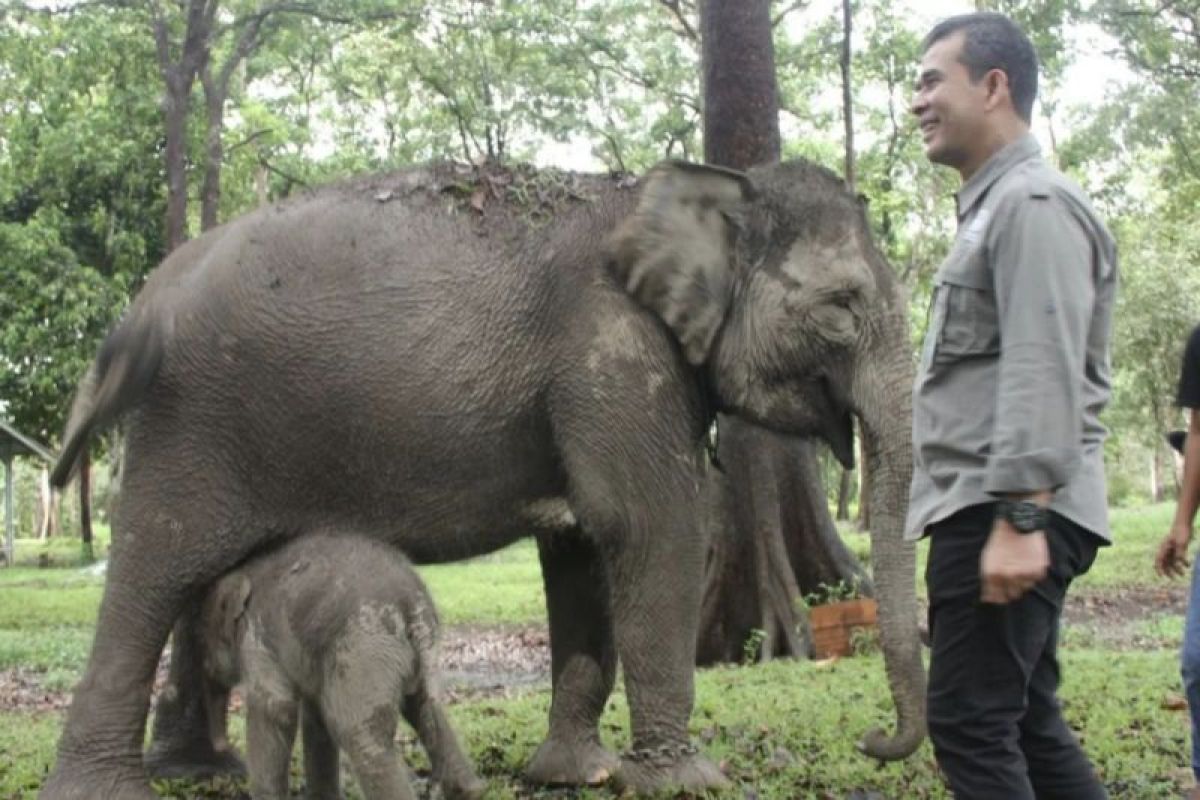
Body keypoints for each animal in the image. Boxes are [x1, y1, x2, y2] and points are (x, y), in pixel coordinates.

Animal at [199, 532, 484, 800]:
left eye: (204, 643)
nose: (222, 746)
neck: (244, 573)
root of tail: (411, 606)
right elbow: (315, 715)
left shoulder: (258, 640)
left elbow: (275, 710)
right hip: (414, 651)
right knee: (425, 707)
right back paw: (468, 791)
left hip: (364, 648)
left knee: (357, 731)